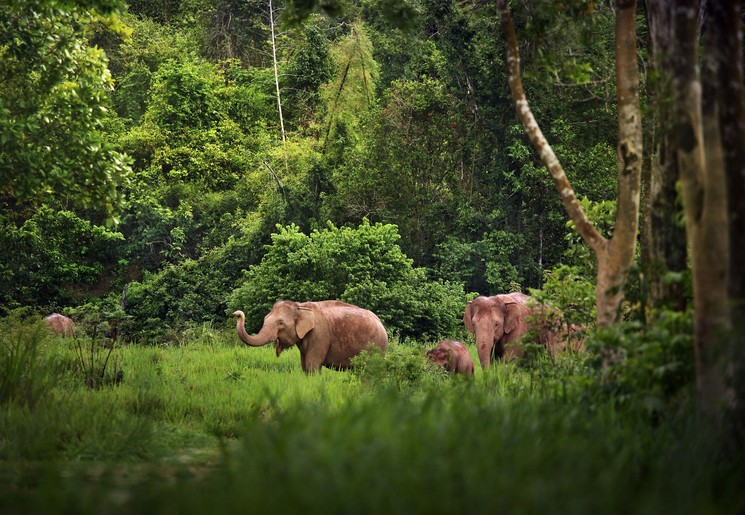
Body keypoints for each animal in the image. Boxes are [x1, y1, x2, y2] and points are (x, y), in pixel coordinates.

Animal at [232, 298, 386, 374]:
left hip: (376, 347)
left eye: (281, 323)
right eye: (265, 318)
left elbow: (312, 365)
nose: (236, 313)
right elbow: (304, 366)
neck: (301, 306)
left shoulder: (320, 334)